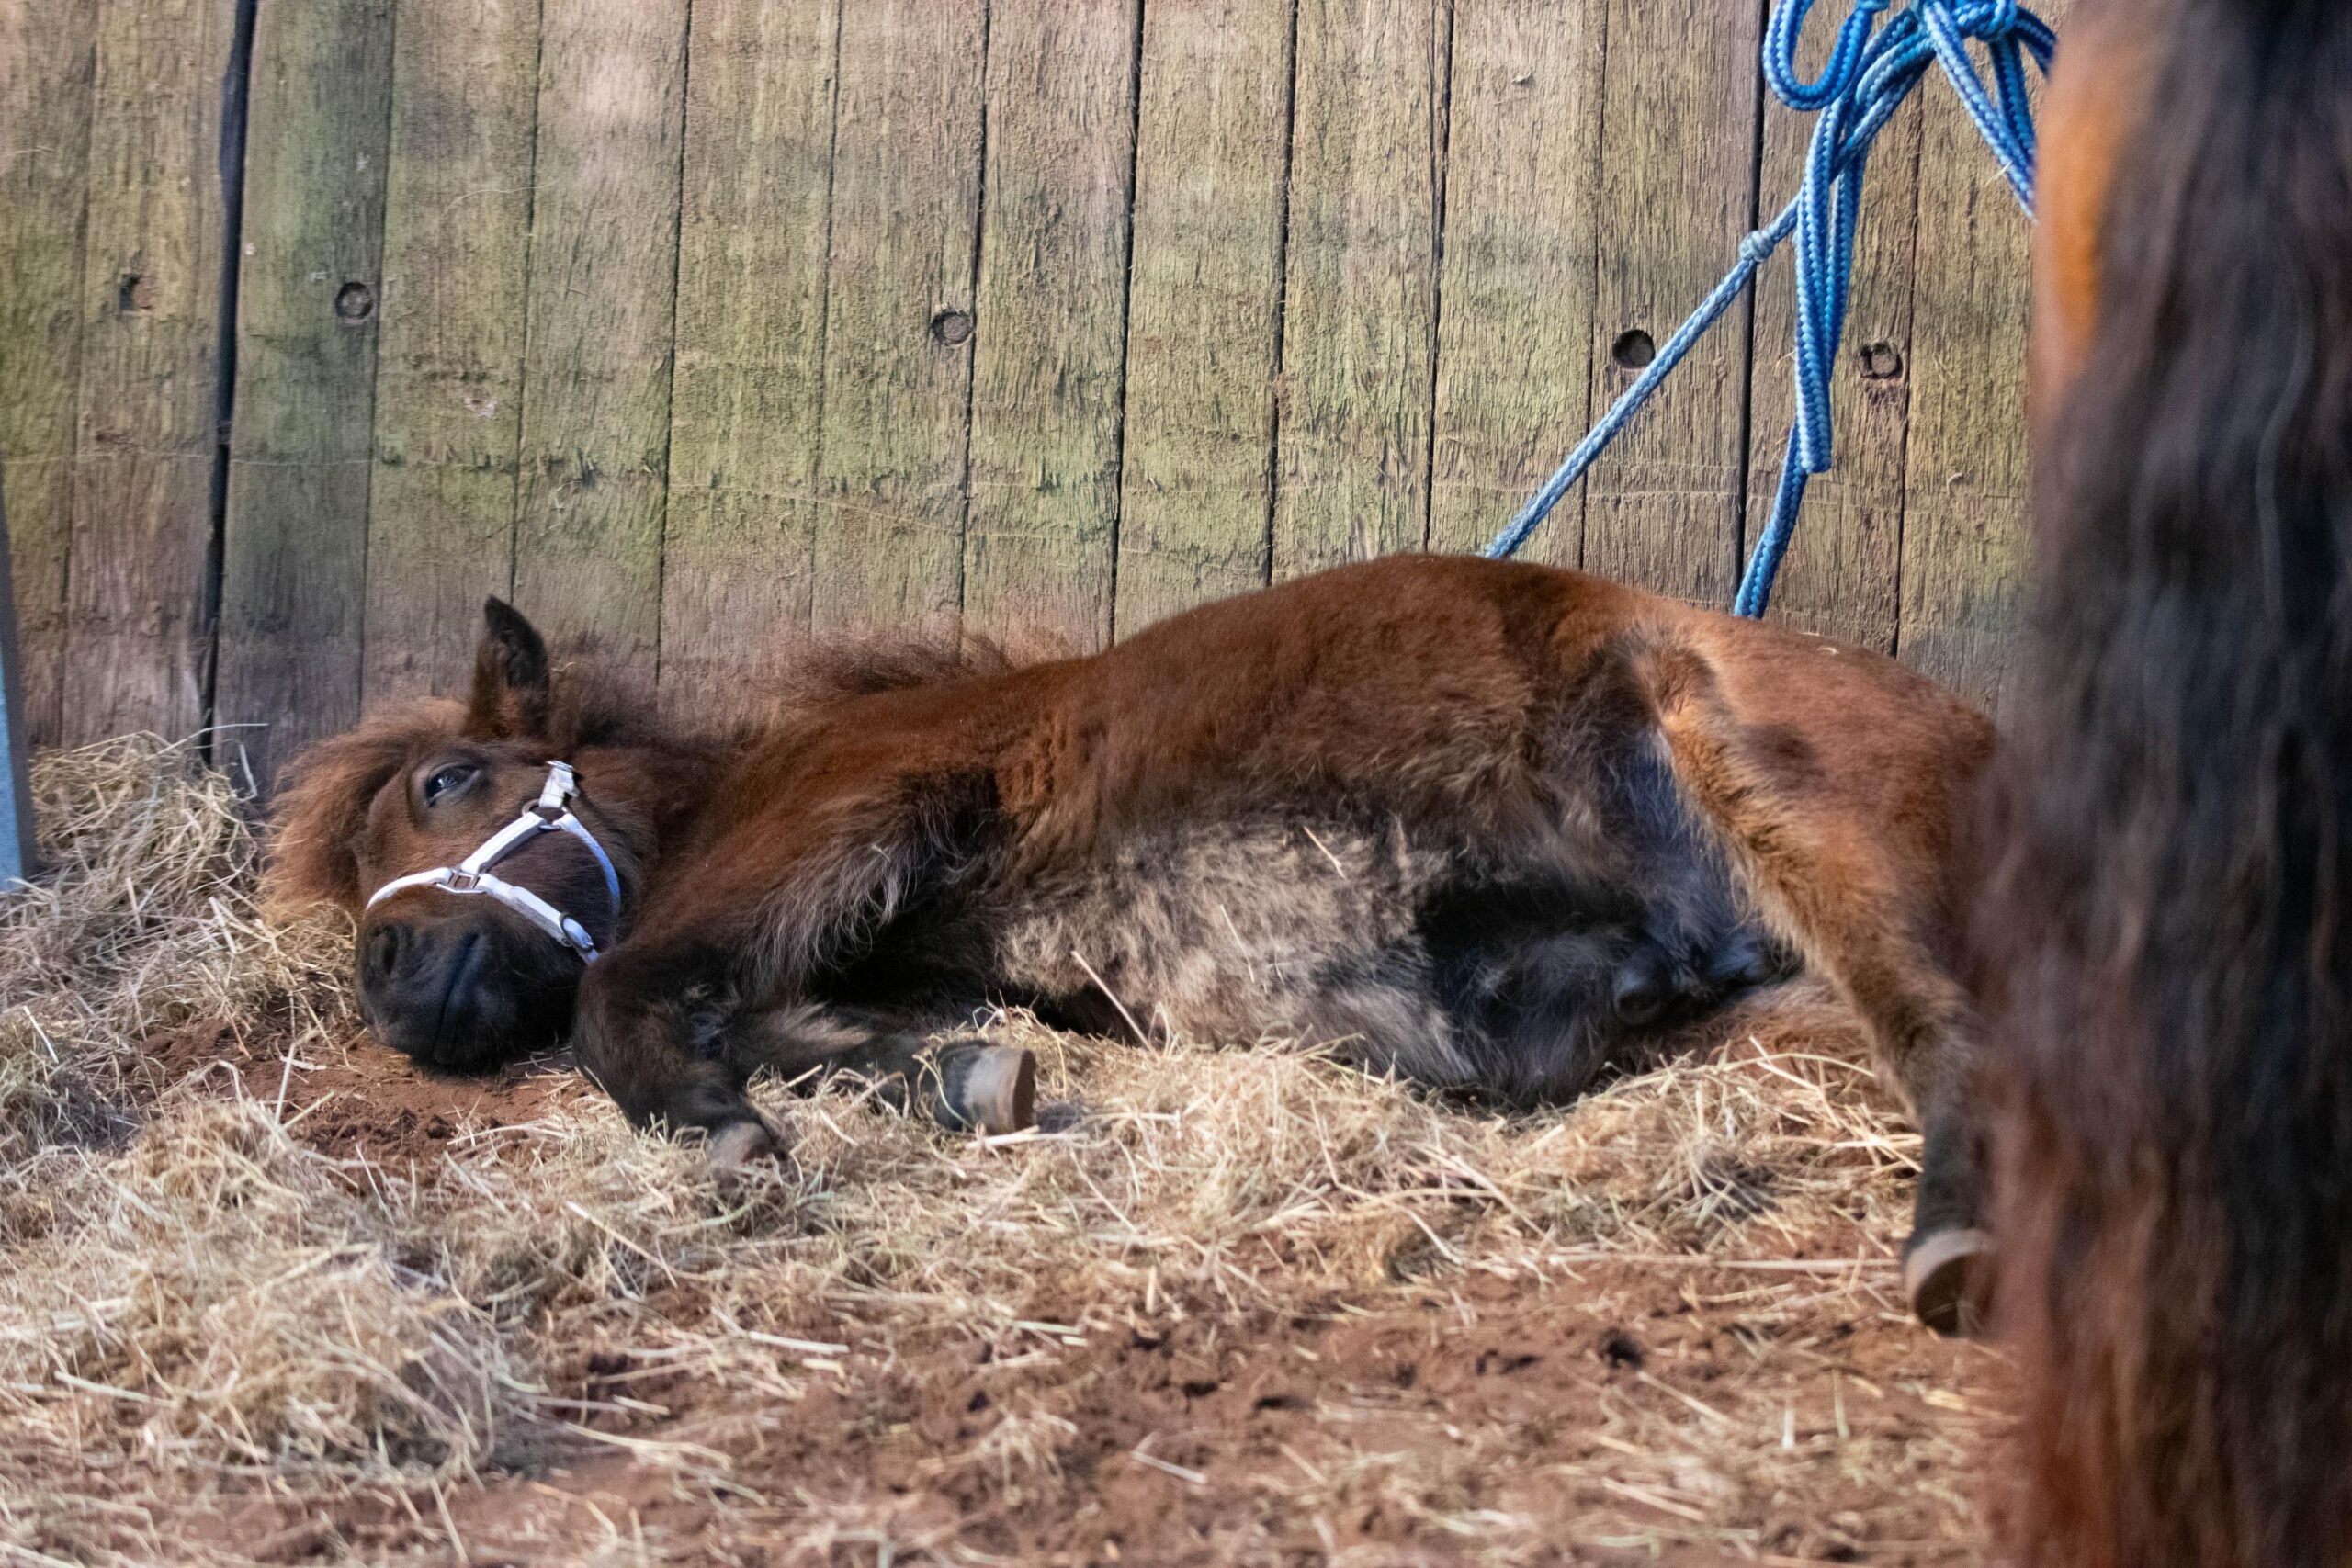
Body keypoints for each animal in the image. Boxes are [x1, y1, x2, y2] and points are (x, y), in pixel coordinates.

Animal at [268, 555, 1996, 1328]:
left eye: (446, 781)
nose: (393, 982)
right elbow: (800, 1018)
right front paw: (955, 1079)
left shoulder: (863, 805)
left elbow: (629, 995)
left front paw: (726, 1129)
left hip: (1796, 806)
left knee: (1971, 1039)